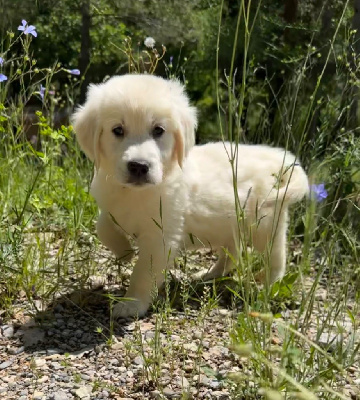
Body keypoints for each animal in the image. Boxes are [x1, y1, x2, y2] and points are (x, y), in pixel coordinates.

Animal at [73, 74, 310, 318]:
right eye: (118, 130)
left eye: (158, 130)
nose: (139, 166)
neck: (134, 193)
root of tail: (278, 161)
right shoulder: (110, 207)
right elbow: (102, 227)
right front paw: (125, 253)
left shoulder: (160, 237)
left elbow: (143, 273)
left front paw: (132, 303)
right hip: (233, 226)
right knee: (232, 253)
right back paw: (209, 275)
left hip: (265, 227)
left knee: (276, 259)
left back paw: (267, 288)